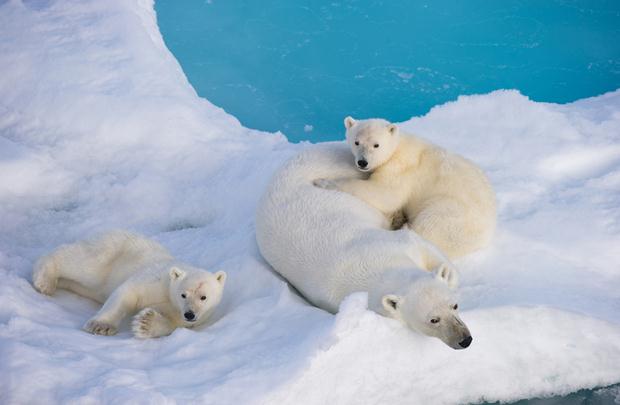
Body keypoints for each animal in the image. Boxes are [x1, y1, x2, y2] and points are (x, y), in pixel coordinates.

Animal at [256, 141, 474, 348]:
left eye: (454, 306)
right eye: (433, 320)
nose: (465, 340)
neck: (377, 264)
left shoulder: (396, 242)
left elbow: (423, 246)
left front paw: (446, 273)